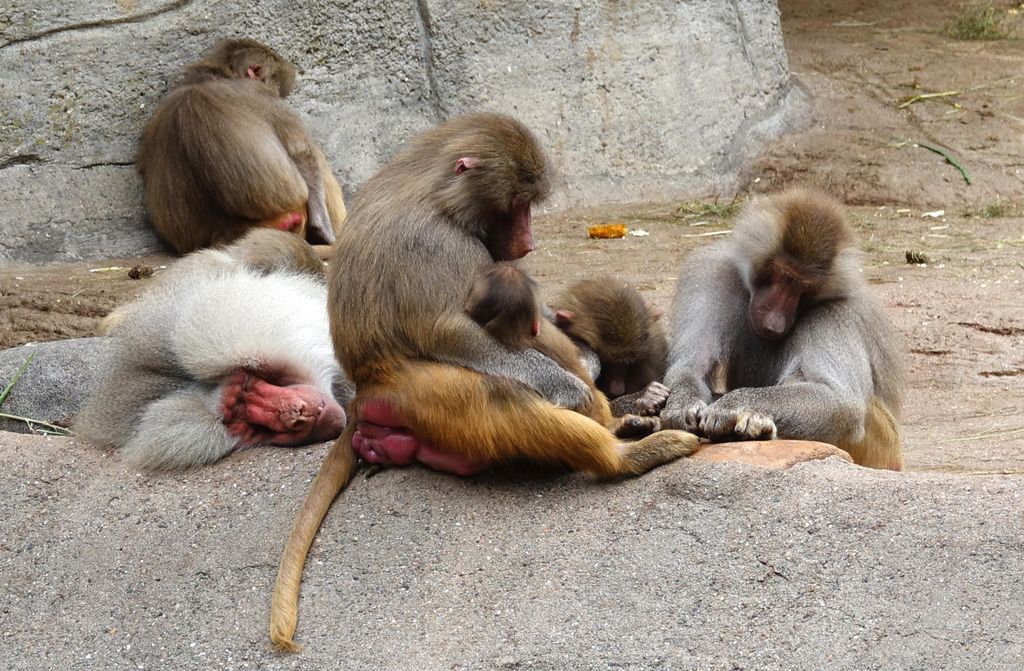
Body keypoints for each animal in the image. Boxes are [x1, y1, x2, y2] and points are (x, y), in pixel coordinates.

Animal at [137, 38, 347, 255]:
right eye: (276, 89)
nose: (279, 94)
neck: (216, 76)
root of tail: (227, 233)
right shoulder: (263, 96)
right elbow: (302, 153)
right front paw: (323, 230)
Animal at [268, 113, 699, 651]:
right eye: (516, 205)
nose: (529, 243)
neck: (437, 192)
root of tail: (367, 389)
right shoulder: (435, 243)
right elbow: (449, 330)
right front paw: (579, 394)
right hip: (416, 393)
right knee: (503, 389)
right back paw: (625, 453)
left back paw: (624, 425)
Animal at [659, 188, 904, 471]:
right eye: (781, 275)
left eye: (802, 287)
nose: (774, 322)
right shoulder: (711, 274)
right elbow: (691, 365)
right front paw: (682, 408)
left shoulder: (834, 314)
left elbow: (842, 403)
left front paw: (730, 407)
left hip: (882, 447)